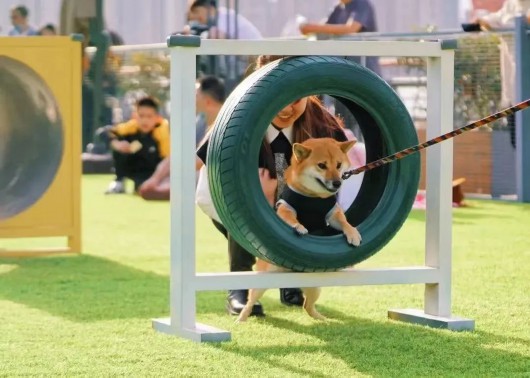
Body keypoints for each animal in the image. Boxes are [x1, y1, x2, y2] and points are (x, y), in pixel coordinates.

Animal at [237, 137, 360, 324]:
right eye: (322, 165)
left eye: (338, 165)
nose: (337, 182)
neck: (313, 197)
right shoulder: (285, 208)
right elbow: (291, 219)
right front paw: (299, 227)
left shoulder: (333, 213)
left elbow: (344, 222)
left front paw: (353, 234)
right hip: (261, 283)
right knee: (250, 302)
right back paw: (241, 318)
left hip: (315, 287)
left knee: (307, 306)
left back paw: (323, 319)